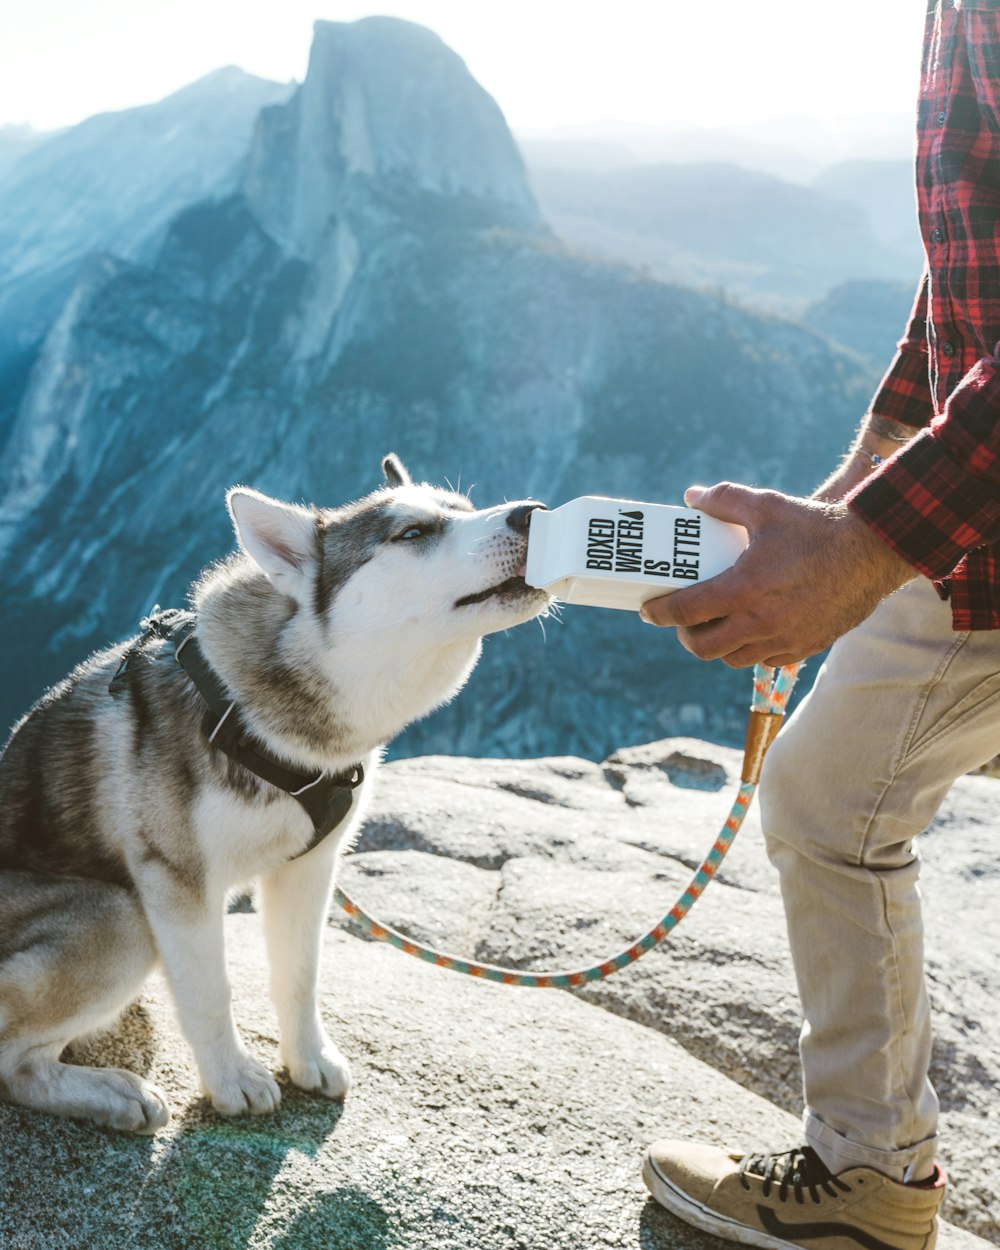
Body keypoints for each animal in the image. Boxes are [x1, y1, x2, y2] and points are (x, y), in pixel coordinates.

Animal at [0, 457, 547, 1135]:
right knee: (14, 1064)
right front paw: (230, 1078)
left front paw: (307, 1058)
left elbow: (300, 973)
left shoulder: (310, 866)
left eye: (463, 508)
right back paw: (110, 1093)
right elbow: (210, 991)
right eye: (413, 533)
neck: (260, 720)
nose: (533, 513)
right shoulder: (176, 882)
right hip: (123, 917)